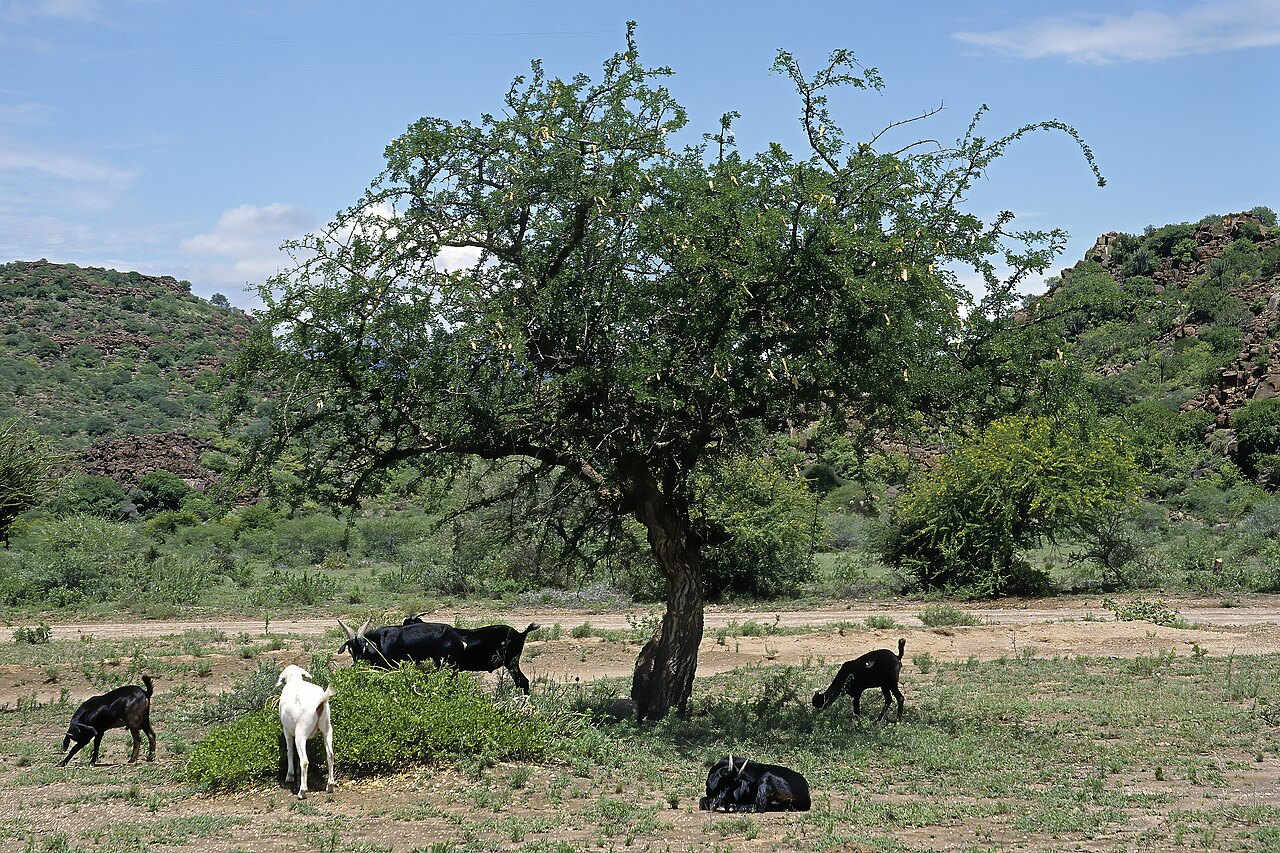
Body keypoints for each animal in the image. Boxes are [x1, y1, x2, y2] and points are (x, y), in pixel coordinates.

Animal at [276, 665, 335, 799]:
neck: (295, 680)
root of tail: (319, 702)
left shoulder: (286, 730)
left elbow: (290, 751)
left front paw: (290, 775)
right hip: (327, 729)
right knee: (330, 755)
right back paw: (330, 785)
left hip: (300, 733)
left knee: (305, 761)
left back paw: (302, 791)